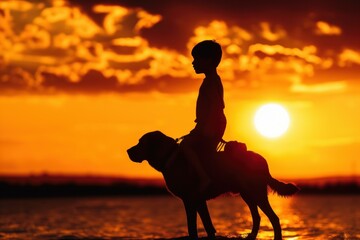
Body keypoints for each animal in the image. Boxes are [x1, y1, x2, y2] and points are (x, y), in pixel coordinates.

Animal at [126, 131, 298, 240]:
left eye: (140, 143)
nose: (128, 151)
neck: (169, 157)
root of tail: (262, 160)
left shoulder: (189, 200)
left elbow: (192, 226)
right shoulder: (199, 201)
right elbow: (208, 225)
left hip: (256, 193)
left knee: (274, 218)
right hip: (247, 194)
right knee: (257, 217)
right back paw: (251, 236)